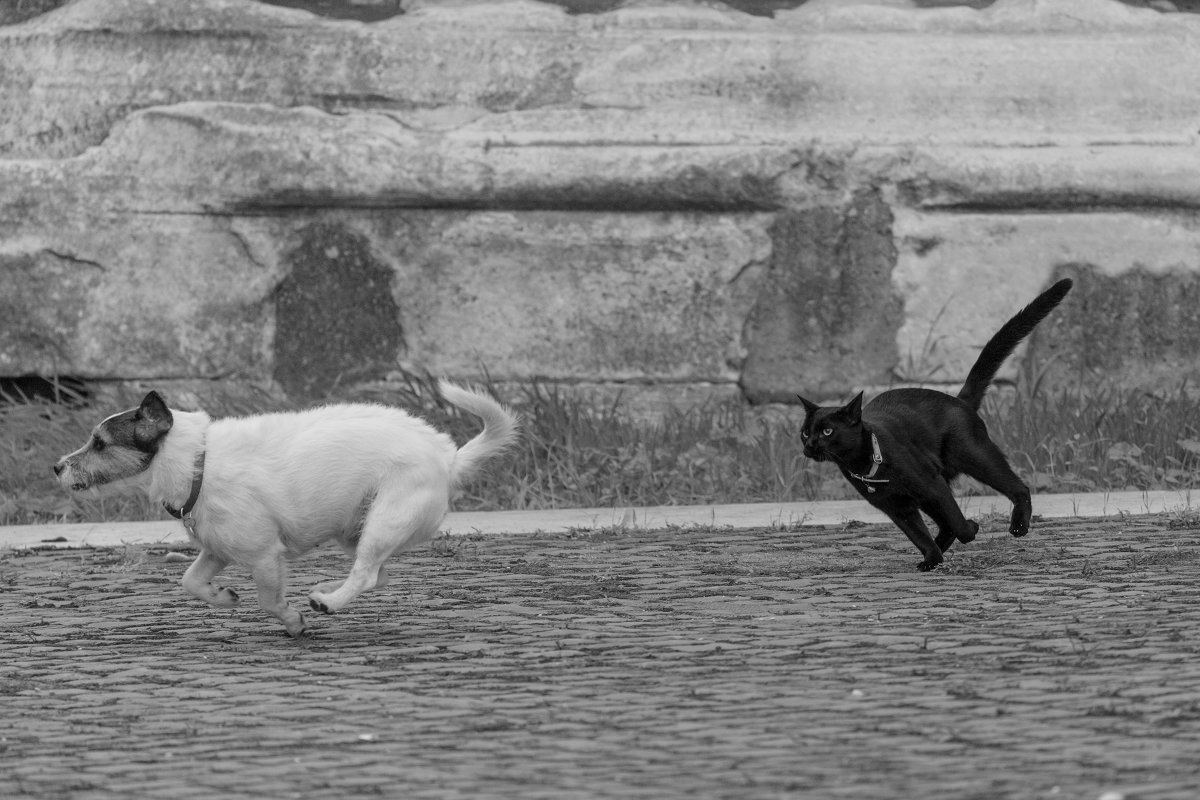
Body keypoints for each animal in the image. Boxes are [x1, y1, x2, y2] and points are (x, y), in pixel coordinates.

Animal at [55, 381, 516, 638]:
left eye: (99, 444)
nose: (56, 466)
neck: (196, 461)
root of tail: (448, 458)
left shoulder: (263, 555)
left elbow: (268, 601)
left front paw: (293, 622)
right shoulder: (217, 549)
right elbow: (190, 581)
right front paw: (222, 597)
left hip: (386, 519)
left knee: (367, 575)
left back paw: (328, 602)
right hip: (356, 530)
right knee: (377, 575)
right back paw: (329, 591)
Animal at [801, 278, 1075, 573]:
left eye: (827, 431)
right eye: (805, 432)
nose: (810, 444)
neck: (865, 465)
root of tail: (958, 399)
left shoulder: (931, 485)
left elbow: (956, 521)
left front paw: (971, 528)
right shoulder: (897, 507)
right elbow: (918, 535)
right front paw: (932, 559)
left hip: (975, 458)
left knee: (1018, 488)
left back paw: (1018, 526)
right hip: (935, 487)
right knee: (945, 524)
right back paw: (940, 550)